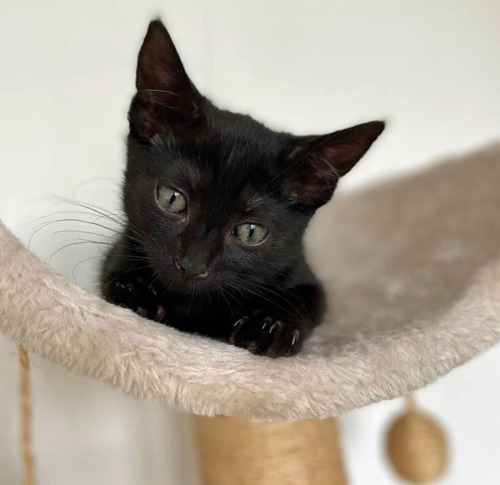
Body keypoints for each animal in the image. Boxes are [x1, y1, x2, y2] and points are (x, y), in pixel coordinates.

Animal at [99, 19, 384, 356]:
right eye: (171, 199)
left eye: (250, 231)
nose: (191, 266)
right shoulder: (121, 247)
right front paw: (135, 290)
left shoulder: (304, 275)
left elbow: (306, 297)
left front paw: (271, 325)